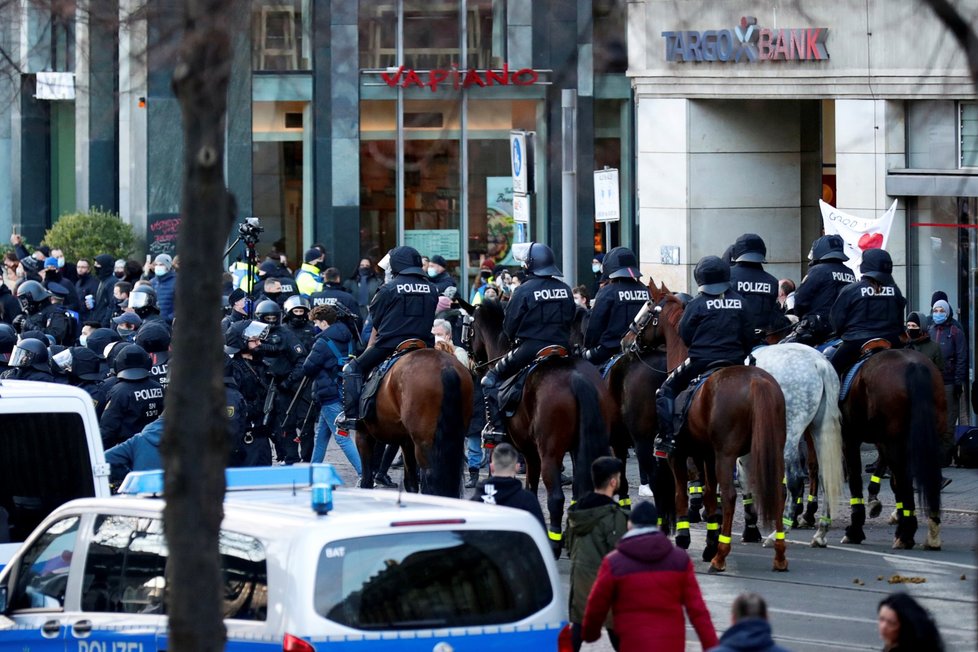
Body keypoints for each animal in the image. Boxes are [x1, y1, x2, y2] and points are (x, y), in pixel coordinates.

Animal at [356, 348, 474, 496]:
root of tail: (446, 367)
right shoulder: (406, 441)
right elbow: (410, 482)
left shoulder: (363, 434)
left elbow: (366, 480)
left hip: (424, 444)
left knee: (430, 479)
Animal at [464, 298, 608, 552]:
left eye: (469, 331)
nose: (472, 365)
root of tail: (576, 376)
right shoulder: (540, 452)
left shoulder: (523, 452)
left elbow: (526, 487)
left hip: (549, 453)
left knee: (556, 497)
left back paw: (555, 543)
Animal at [644, 290, 788, 572]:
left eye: (647, 310)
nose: (626, 341)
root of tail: (757, 381)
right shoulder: (706, 455)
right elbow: (710, 495)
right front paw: (709, 539)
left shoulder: (680, 454)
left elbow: (682, 493)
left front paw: (685, 538)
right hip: (770, 449)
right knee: (777, 491)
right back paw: (778, 554)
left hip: (726, 454)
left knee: (731, 495)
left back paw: (721, 556)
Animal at [736, 344, 844, 548]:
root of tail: (818, 362)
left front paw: (750, 529)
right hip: (819, 429)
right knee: (824, 476)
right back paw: (820, 532)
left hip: (789, 432)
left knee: (795, 480)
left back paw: (778, 533)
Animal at [836, 346, 940, 552]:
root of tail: (914, 365)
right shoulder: (881, 441)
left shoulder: (849, 439)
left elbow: (854, 480)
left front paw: (854, 530)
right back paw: (931, 534)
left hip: (894, 443)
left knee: (903, 480)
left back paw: (905, 534)